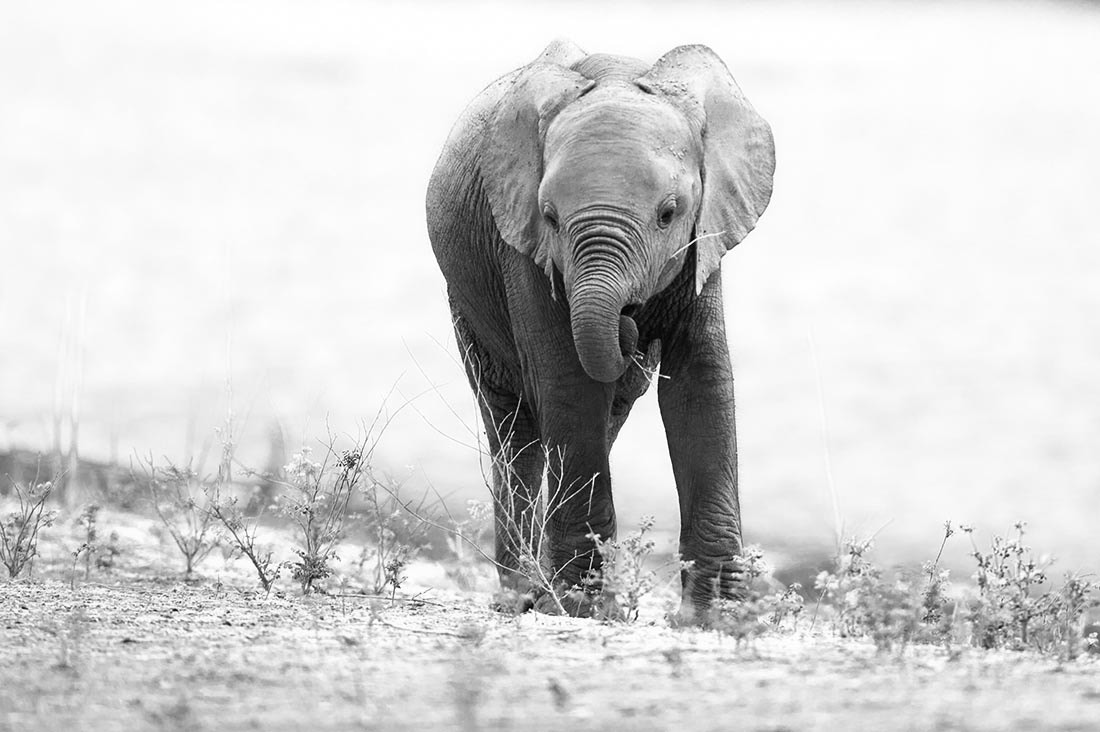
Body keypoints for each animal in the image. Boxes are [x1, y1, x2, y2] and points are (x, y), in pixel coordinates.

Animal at [425, 40, 774, 621]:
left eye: (669, 213)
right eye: (550, 216)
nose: (632, 324)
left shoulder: (705, 240)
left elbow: (701, 382)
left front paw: (713, 618)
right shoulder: (523, 249)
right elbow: (568, 383)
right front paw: (584, 608)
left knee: (605, 412)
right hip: (467, 299)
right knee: (513, 425)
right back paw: (524, 595)